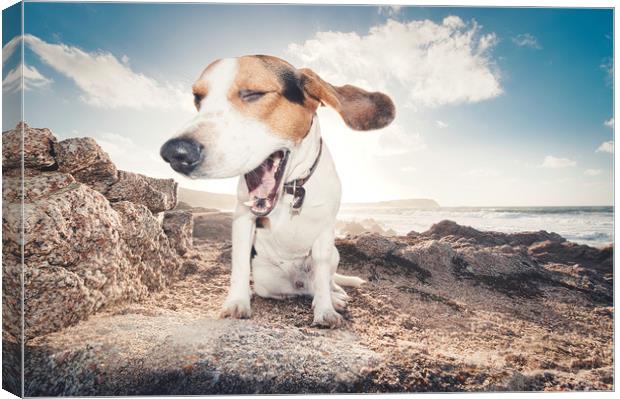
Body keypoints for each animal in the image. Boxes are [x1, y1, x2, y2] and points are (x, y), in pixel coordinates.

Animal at [162, 54, 394, 328]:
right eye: (198, 98)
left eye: (253, 93)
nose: (175, 152)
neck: (292, 188)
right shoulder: (243, 219)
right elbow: (239, 266)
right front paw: (237, 302)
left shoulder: (326, 228)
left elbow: (322, 274)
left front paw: (325, 309)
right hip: (268, 280)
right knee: (298, 289)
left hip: (335, 253)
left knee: (323, 280)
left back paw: (334, 294)